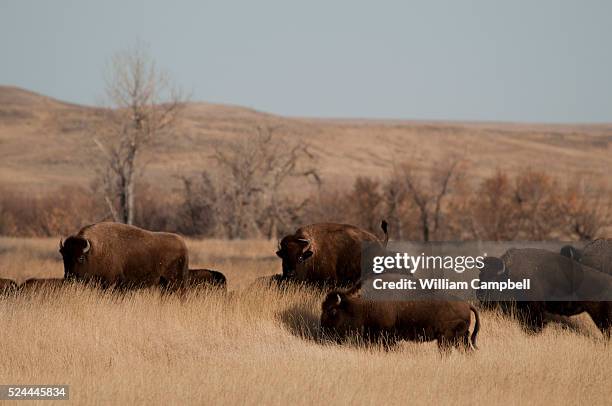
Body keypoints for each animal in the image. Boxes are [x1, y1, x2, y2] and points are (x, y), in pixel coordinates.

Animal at [61, 222, 189, 288]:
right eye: (64, 258)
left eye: (81, 258)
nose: (69, 278)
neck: (95, 250)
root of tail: (183, 244)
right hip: (164, 282)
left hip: (176, 281)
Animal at [320, 288, 478, 352]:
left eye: (332, 311)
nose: (323, 328)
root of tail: (466, 304)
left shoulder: (388, 337)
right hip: (459, 339)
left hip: (446, 339)